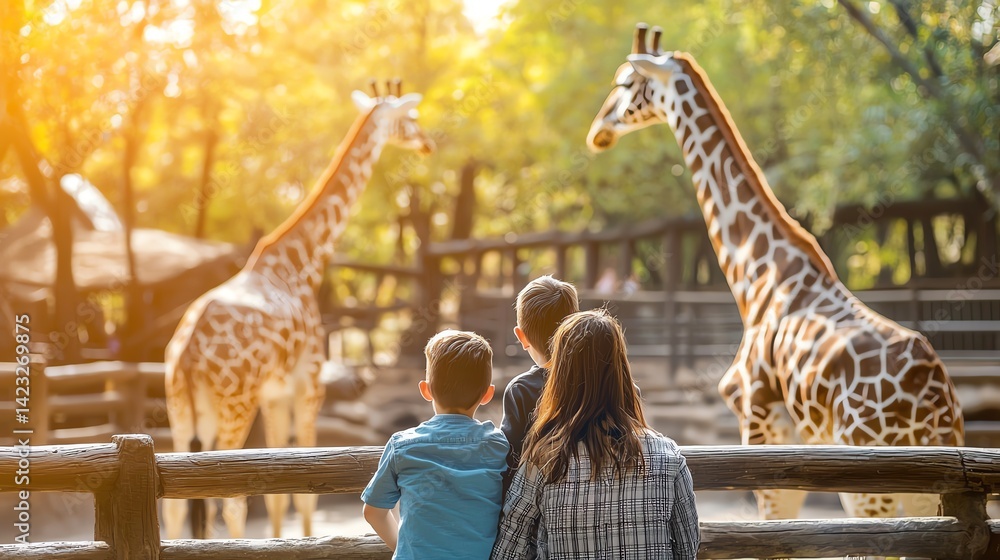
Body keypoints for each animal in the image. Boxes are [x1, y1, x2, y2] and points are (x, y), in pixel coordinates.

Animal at [163, 81, 434, 540]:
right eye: (411, 118)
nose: (429, 143)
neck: (301, 262)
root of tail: (187, 353)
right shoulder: (308, 383)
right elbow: (306, 489)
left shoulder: (275, 393)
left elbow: (278, 491)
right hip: (235, 404)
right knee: (229, 500)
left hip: (182, 409)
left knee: (176, 503)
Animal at [587, 24, 963, 524]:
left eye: (626, 82)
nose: (598, 132)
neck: (757, 274)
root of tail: (933, 396)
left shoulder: (760, 421)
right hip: (925, 474)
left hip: (871, 472)